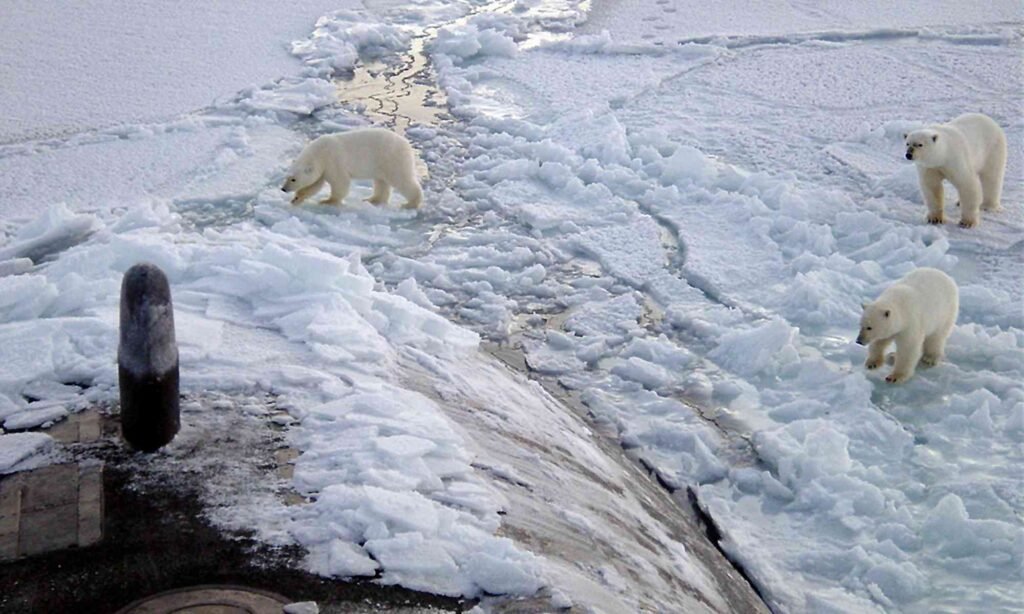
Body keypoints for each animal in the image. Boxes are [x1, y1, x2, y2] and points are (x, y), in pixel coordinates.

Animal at [281, 128, 423, 209]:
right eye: (287, 177)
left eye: (293, 179)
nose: (283, 189)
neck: (320, 152)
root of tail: (407, 145)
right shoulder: (322, 168)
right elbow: (314, 184)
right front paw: (296, 199)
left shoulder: (333, 161)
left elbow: (340, 182)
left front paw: (327, 201)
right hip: (381, 164)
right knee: (381, 182)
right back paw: (373, 200)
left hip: (392, 159)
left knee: (401, 179)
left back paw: (411, 203)